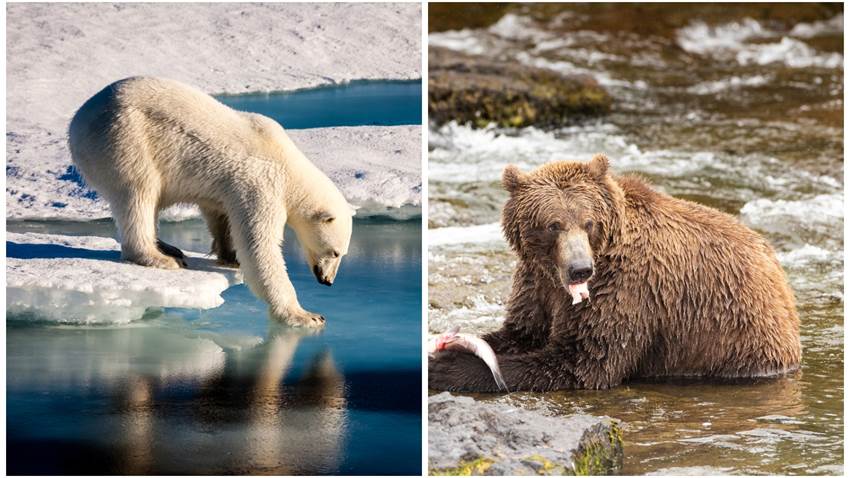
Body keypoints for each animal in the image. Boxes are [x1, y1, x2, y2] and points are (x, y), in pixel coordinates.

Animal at [68, 77, 355, 328]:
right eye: (335, 252)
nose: (328, 281)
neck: (288, 164)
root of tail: (77, 121)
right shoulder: (261, 185)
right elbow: (259, 246)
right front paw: (306, 315)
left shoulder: (228, 187)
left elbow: (220, 214)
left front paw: (230, 255)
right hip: (125, 139)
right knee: (139, 193)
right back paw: (159, 257)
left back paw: (168, 247)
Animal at [429, 154, 801, 391]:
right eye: (553, 224)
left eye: (588, 221)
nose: (580, 269)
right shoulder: (536, 282)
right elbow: (521, 331)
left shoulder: (627, 289)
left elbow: (583, 360)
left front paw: (447, 366)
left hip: (735, 340)